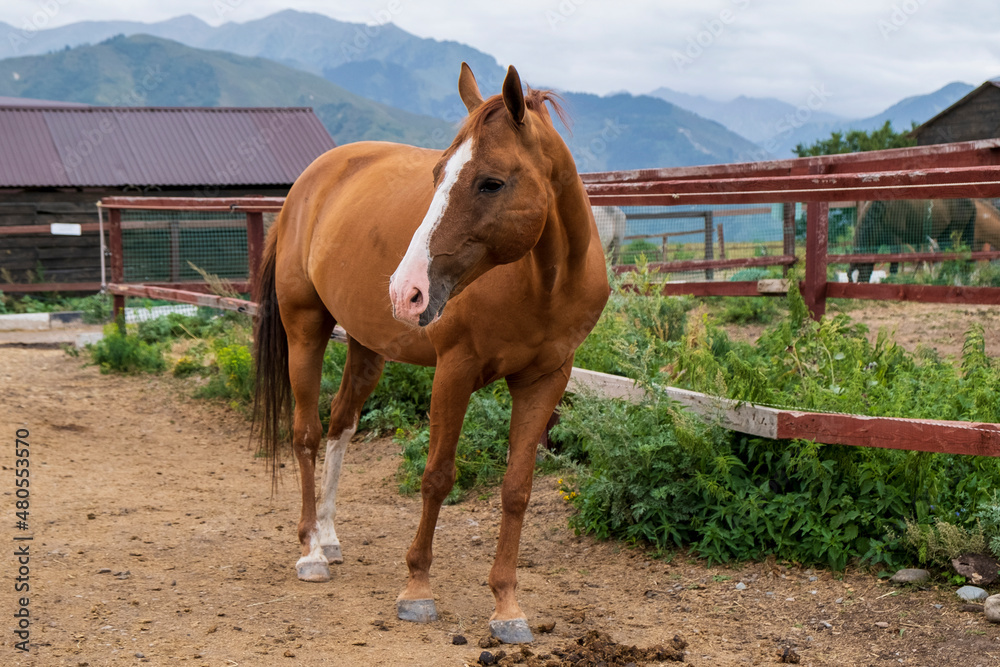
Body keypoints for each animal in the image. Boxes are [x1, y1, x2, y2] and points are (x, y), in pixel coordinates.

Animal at [252, 63, 610, 644]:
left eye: (491, 181)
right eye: (438, 173)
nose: (407, 291)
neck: (544, 282)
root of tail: (309, 182)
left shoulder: (546, 380)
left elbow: (517, 489)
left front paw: (507, 606)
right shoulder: (454, 371)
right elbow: (437, 476)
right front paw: (417, 589)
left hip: (367, 347)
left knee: (340, 425)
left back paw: (328, 536)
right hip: (305, 329)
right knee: (305, 433)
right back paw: (310, 552)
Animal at [848, 198, 1000, 282]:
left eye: (860, 272)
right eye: (850, 278)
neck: (878, 212)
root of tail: (971, 201)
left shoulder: (895, 241)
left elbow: (894, 267)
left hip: (954, 235)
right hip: (946, 237)